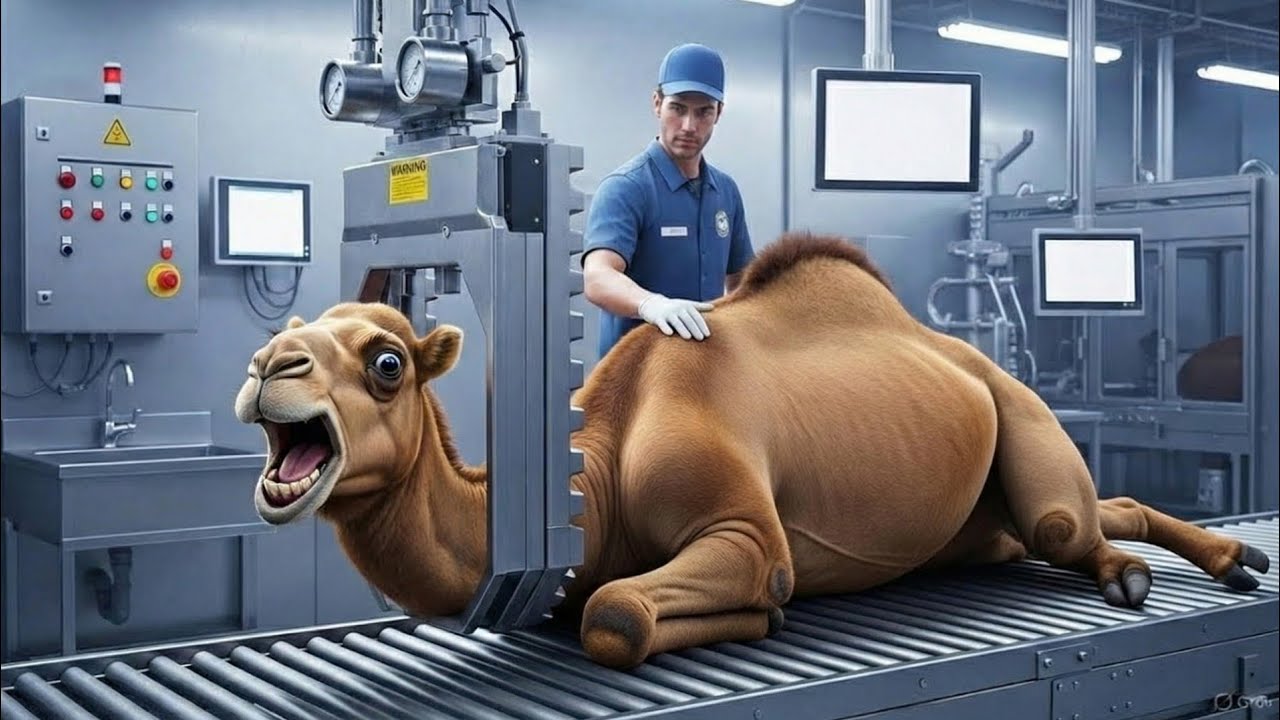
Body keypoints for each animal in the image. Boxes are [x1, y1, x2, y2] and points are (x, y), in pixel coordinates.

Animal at [234, 231, 1270, 670]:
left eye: (386, 361)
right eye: (293, 329)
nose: (266, 365)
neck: (594, 480)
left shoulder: (743, 529)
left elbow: (617, 613)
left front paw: (761, 615)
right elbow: (606, 603)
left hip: (1017, 418)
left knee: (1072, 522)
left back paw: (1143, 575)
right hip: (979, 529)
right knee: (1098, 510)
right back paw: (1229, 557)